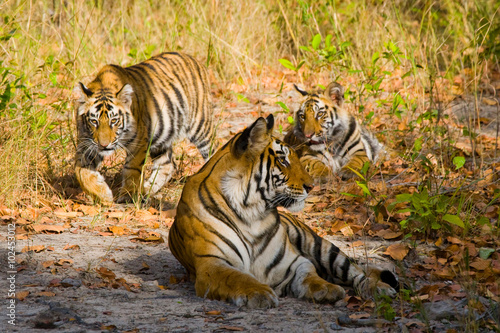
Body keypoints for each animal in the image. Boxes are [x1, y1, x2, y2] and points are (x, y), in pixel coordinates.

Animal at [73, 51, 214, 202]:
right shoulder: (87, 143)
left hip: (200, 127)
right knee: (168, 164)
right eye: (94, 121)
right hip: (161, 137)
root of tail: (192, 58)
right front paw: (102, 194)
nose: (104, 145)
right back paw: (146, 190)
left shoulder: (138, 142)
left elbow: (132, 169)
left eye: (114, 121)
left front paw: (128, 195)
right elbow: (80, 170)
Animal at [169, 113, 398, 308]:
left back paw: (379, 289)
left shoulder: (294, 261)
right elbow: (237, 277)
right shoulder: (212, 263)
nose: (312, 186)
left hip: (322, 247)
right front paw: (259, 293)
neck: (251, 213)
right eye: (282, 160)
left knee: (357, 272)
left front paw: (326, 289)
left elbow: (309, 275)